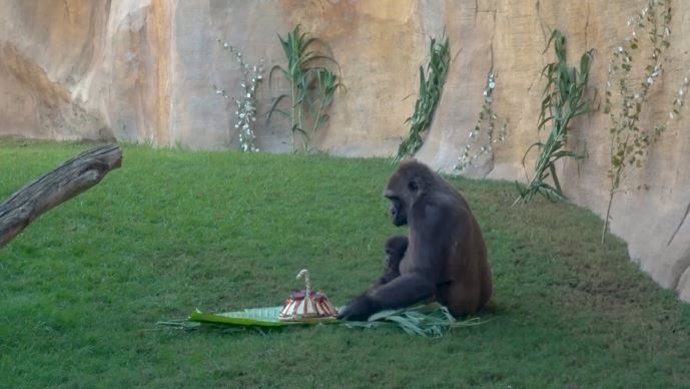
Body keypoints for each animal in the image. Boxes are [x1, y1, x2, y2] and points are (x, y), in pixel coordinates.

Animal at [338, 159, 490, 320]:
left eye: (394, 198)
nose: (391, 211)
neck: (429, 191)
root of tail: (474, 311)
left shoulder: (427, 214)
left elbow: (420, 278)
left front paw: (361, 305)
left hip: (437, 311)